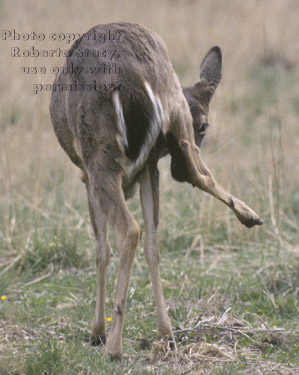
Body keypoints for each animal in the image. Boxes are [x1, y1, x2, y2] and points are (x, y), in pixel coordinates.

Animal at [50, 22, 264, 360]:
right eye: (205, 127)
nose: (175, 167)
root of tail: (136, 77)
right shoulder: (150, 166)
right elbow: (153, 245)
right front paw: (163, 332)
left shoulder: (86, 177)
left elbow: (101, 249)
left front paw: (96, 331)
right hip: (174, 112)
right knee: (195, 179)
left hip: (99, 154)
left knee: (129, 230)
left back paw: (114, 345)